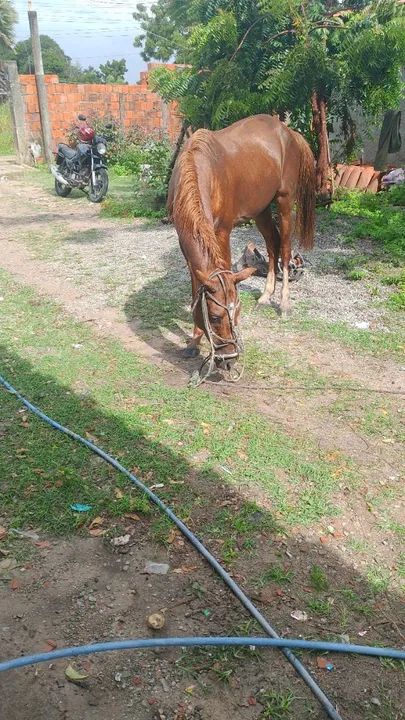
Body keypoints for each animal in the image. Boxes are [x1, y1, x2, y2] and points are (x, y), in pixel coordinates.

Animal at [167, 114, 315, 371]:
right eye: (215, 317)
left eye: (237, 309)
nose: (229, 358)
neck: (201, 167)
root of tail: (288, 132)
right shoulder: (184, 241)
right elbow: (197, 286)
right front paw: (194, 341)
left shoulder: (222, 232)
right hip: (261, 210)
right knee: (272, 244)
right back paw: (266, 296)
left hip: (285, 201)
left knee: (286, 249)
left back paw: (284, 303)